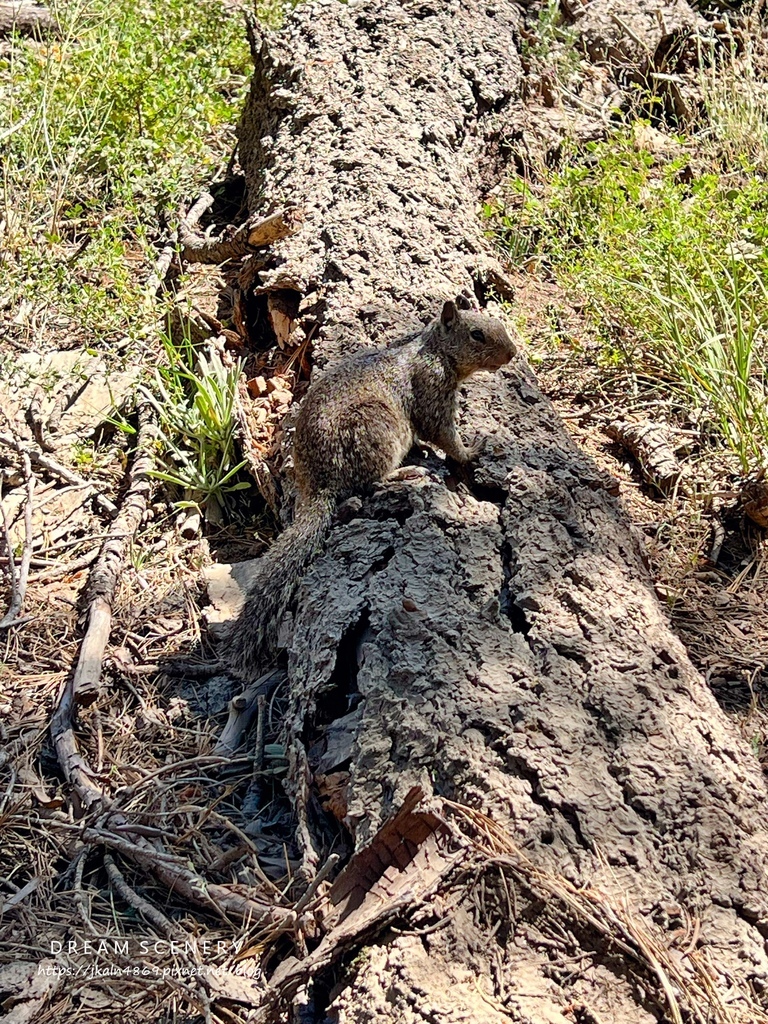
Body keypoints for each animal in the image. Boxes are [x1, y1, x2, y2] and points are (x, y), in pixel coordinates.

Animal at [227, 292, 518, 675]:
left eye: (498, 324)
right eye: (476, 334)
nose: (512, 353)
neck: (434, 349)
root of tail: (318, 483)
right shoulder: (432, 391)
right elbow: (443, 433)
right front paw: (472, 450)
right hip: (376, 428)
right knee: (368, 484)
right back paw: (404, 474)